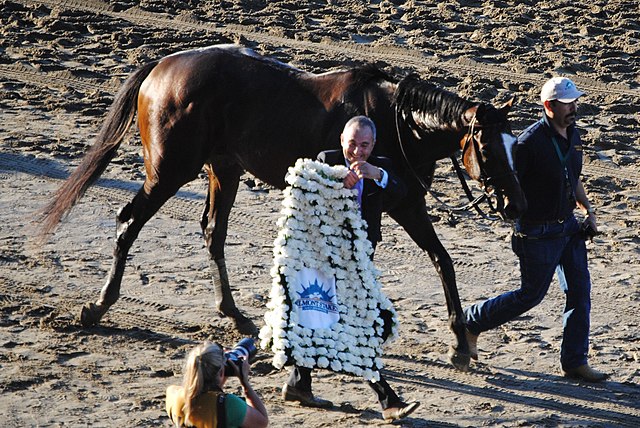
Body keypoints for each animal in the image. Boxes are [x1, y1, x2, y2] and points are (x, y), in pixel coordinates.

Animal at [41, 44, 528, 372]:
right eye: (488, 147)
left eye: (515, 143)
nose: (514, 203)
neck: (394, 122)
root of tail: (161, 67)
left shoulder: (405, 203)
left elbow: (442, 260)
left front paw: (461, 343)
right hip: (168, 173)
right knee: (129, 222)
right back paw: (99, 306)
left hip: (224, 170)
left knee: (213, 232)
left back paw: (235, 313)